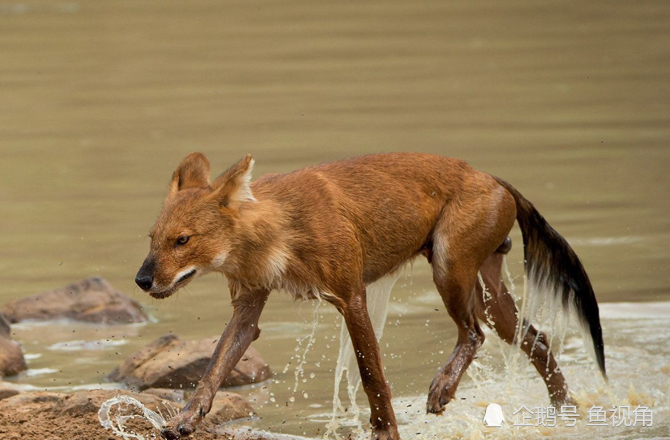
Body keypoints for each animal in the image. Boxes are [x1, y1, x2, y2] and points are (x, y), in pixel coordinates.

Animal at [138, 152, 608, 440]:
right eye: (152, 238)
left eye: (183, 240)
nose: (142, 279)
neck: (279, 227)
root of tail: (492, 177)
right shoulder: (249, 306)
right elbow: (213, 370)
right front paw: (184, 419)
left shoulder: (352, 296)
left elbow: (371, 374)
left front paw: (384, 430)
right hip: (488, 292)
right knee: (536, 339)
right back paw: (565, 411)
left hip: (449, 268)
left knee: (474, 333)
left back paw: (442, 389)